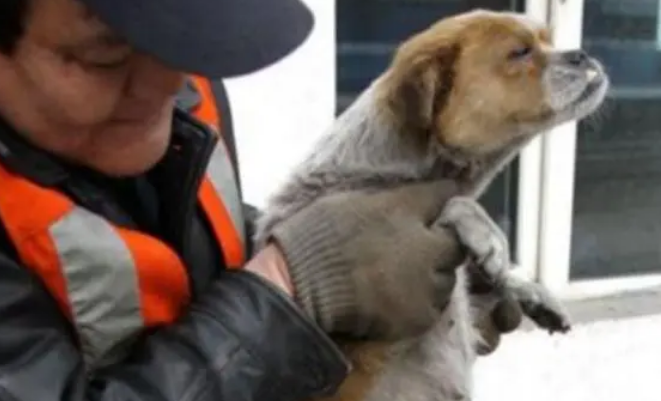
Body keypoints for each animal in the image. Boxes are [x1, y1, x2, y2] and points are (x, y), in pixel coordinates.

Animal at [253, 8, 608, 400]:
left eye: (548, 41)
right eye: (519, 52)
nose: (582, 55)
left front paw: (530, 290)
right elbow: (455, 204)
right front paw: (489, 236)